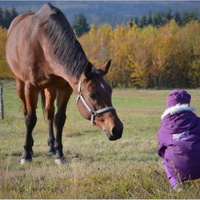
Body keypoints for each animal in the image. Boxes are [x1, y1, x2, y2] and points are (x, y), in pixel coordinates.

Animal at [5, 3, 122, 165]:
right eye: (92, 95)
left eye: (110, 91)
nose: (117, 129)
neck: (42, 41)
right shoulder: (31, 87)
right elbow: (30, 119)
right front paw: (26, 154)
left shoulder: (64, 88)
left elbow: (59, 119)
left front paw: (59, 154)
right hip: (20, 84)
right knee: (26, 111)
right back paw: (31, 148)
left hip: (50, 88)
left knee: (49, 113)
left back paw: (51, 147)